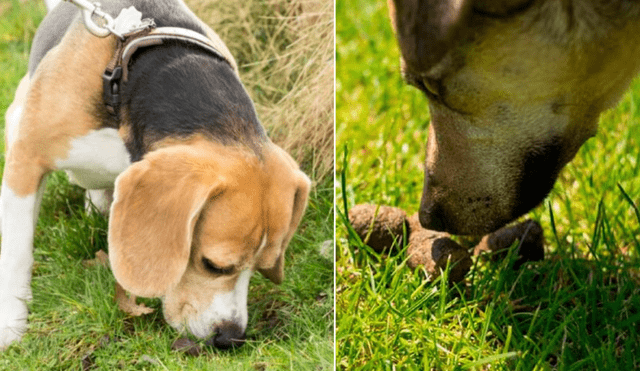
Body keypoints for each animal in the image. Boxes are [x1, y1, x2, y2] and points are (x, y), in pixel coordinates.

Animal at [0, 0, 310, 350]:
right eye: (213, 265)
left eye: (263, 267)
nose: (231, 338)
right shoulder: (27, 158)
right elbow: (17, 253)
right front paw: (11, 323)